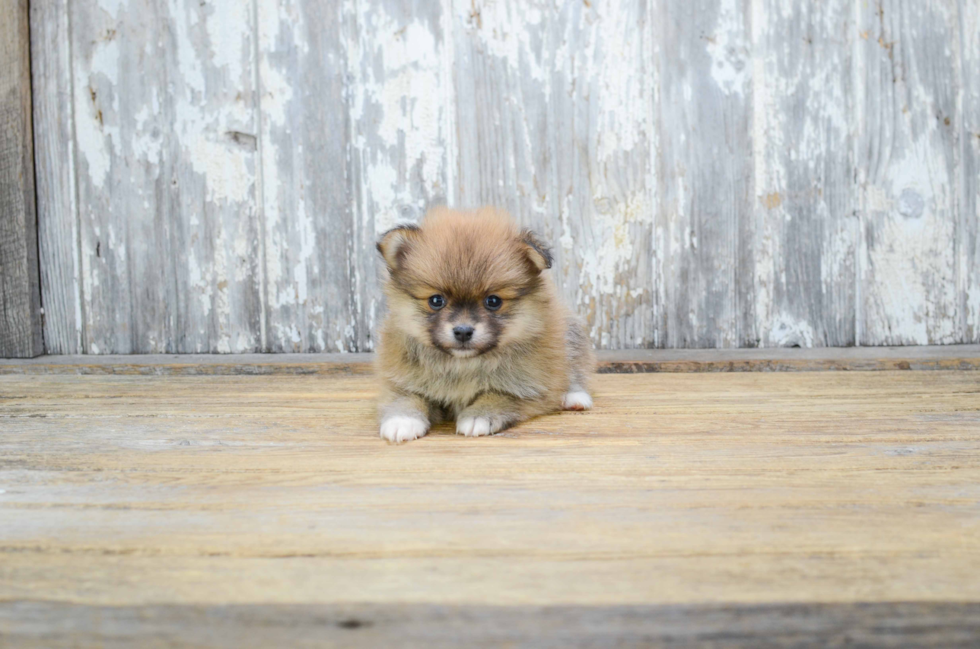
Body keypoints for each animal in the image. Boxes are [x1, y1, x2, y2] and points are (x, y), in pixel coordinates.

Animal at [376, 205, 592, 442]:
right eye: (436, 300)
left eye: (493, 301)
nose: (463, 331)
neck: (463, 365)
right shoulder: (401, 379)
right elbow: (406, 397)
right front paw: (402, 420)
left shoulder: (530, 387)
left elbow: (498, 395)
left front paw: (478, 416)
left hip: (570, 334)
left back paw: (574, 397)